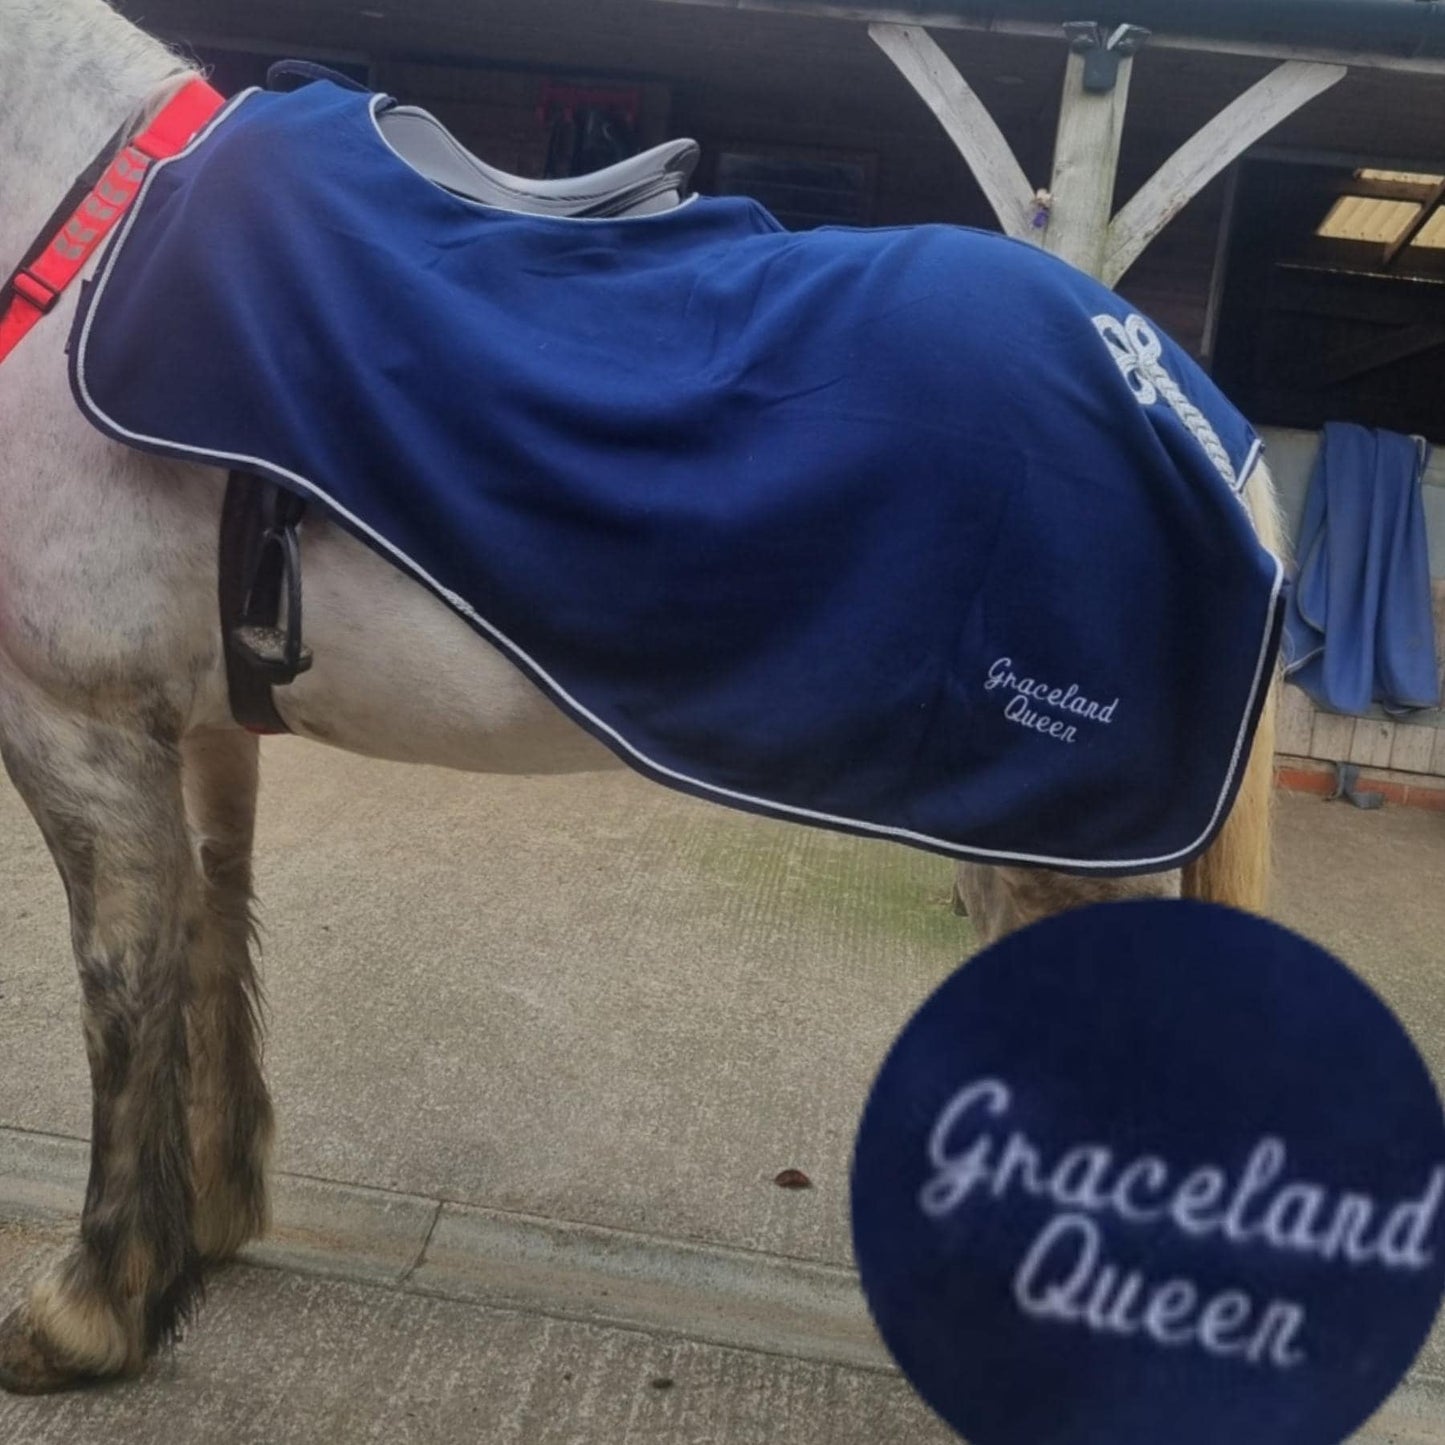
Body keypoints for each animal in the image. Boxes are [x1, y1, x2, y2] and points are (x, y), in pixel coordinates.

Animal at [0, 0, 1281, 1392]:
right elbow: (209, 932)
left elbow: (121, 981)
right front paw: (208, 1231)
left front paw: (86, 1311)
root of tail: (1184, 404)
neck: (76, 225)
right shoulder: (196, 727)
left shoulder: (76, 718)